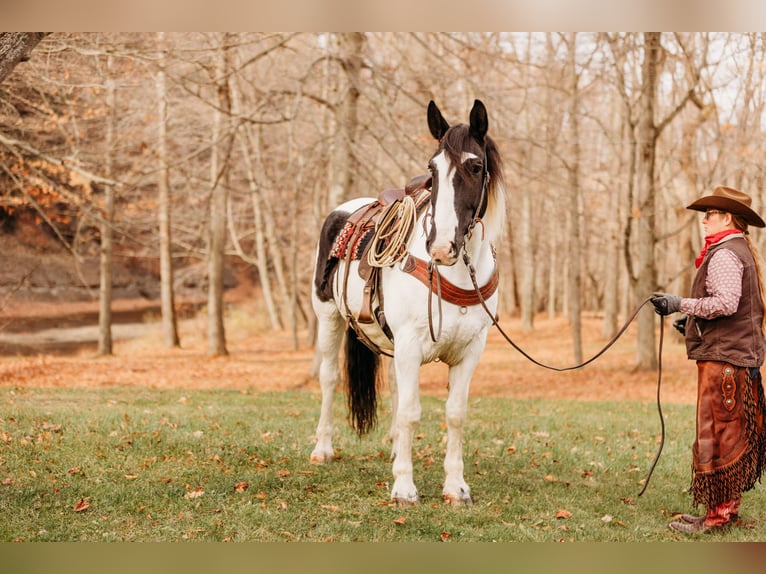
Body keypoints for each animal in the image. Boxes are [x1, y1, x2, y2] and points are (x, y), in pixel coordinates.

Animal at [308, 100, 508, 508]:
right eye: (432, 170)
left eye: (475, 166)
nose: (441, 248)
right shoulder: (411, 344)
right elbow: (411, 412)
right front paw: (403, 486)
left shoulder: (470, 350)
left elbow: (454, 414)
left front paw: (456, 488)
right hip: (329, 317)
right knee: (330, 379)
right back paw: (323, 449)